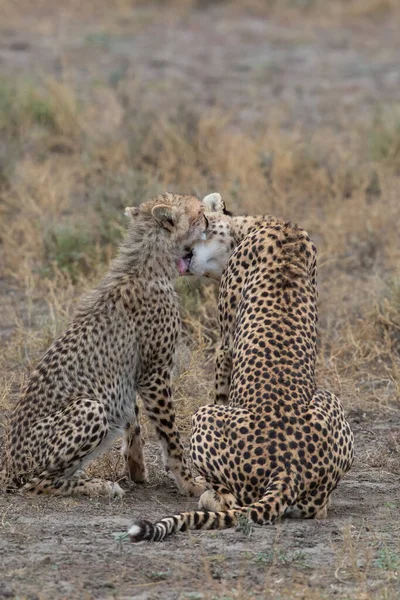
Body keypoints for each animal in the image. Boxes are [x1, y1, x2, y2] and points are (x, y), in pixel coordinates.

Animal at [4, 192, 209, 496]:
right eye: (199, 211)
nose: (211, 218)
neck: (148, 264)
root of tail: (8, 463)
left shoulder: (133, 373)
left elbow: (133, 419)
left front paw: (137, 468)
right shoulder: (154, 373)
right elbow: (171, 435)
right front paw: (189, 482)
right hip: (90, 408)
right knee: (36, 485)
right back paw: (97, 485)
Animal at [127, 195, 354, 540]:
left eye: (201, 221)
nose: (176, 247)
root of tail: (288, 470)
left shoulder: (225, 347)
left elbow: (221, 388)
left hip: (204, 416)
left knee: (232, 500)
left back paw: (208, 494)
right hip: (329, 401)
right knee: (319, 509)